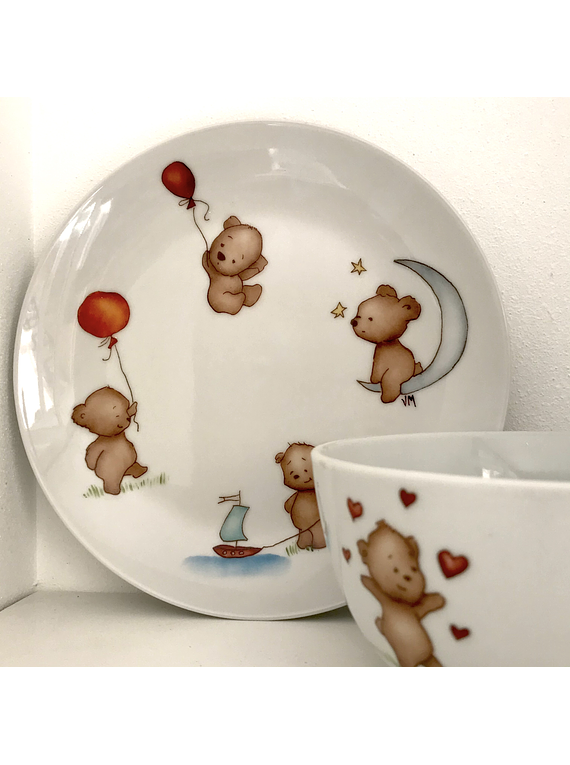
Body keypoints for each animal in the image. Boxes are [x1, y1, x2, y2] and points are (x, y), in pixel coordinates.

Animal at [358, 521, 446, 668]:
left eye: (414, 568)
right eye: (395, 570)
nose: (408, 577)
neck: (394, 602)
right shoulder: (411, 611)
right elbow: (423, 605)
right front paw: (438, 599)